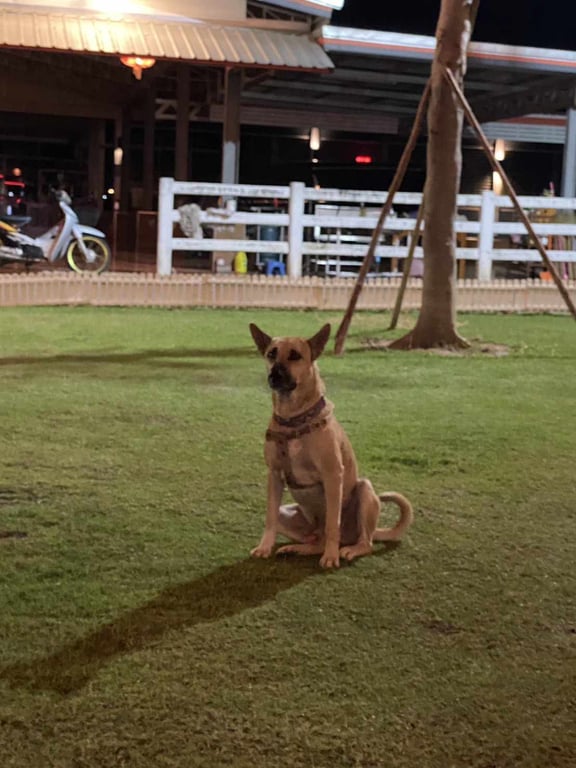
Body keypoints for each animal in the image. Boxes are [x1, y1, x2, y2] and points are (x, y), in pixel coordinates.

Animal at [249, 322, 413, 569]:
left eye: (295, 355)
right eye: (271, 354)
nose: (274, 375)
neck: (294, 420)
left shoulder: (333, 474)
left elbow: (332, 522)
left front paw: (331, 556)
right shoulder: (275, 475)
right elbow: (269, 518)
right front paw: (265, 547)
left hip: (364, 490)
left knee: (363, 542)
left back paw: (347, 550)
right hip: (287, 513)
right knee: (315, 540)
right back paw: (296, 549)